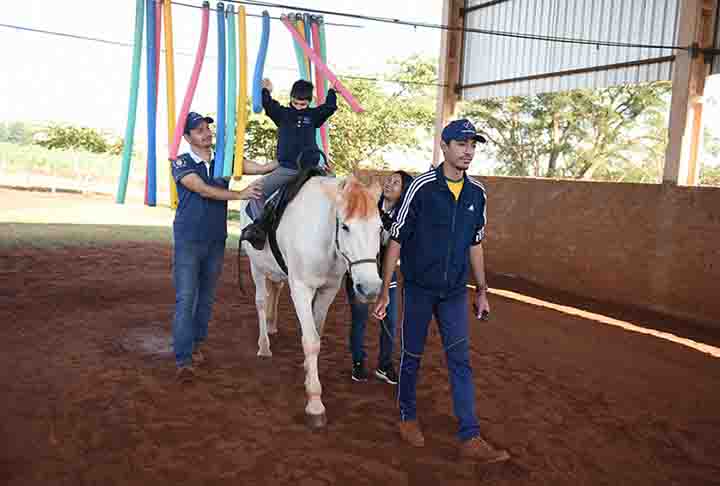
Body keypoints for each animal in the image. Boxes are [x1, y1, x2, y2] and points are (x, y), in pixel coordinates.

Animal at [240, 177, 382, 428]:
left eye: (380, 228)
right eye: (345, 227)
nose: (370, 288)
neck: (323, 235)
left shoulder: (328, 290)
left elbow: (317, 331)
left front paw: (308, 370)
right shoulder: (301, 289)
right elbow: (311, 341)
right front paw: (315, 403)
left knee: (275, 289)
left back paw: (272, 325)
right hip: (256, 267)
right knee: (260, 302)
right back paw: (264, 344)